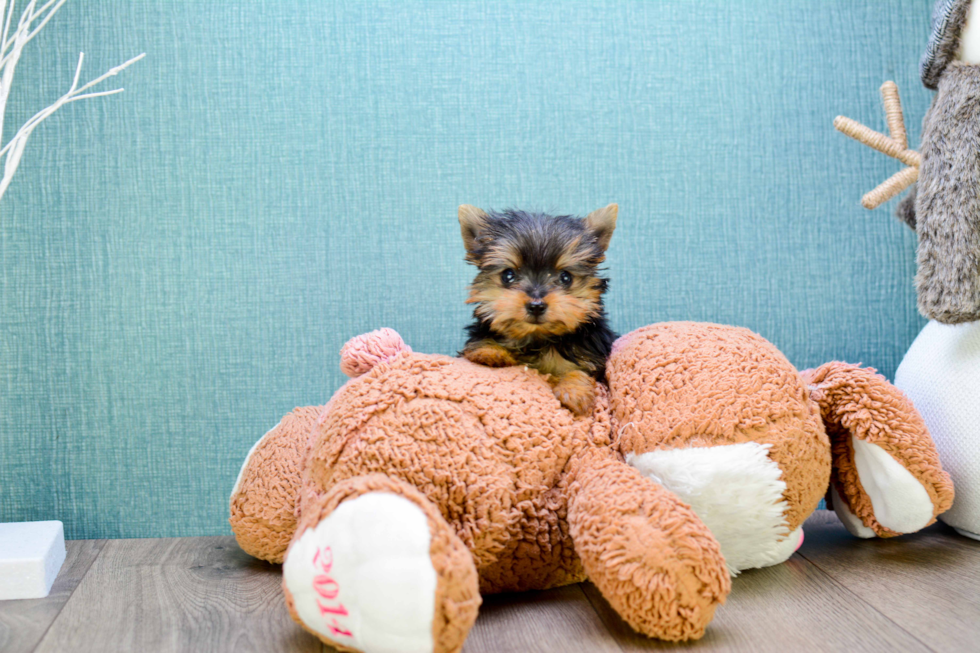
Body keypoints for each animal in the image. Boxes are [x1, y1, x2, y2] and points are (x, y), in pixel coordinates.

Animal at [462, 204, 620, 412]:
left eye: (566, 277)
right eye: (508, 275)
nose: (536, 306)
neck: (537, 338)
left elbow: (578, 369)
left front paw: (574, 390)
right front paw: (490, 351)